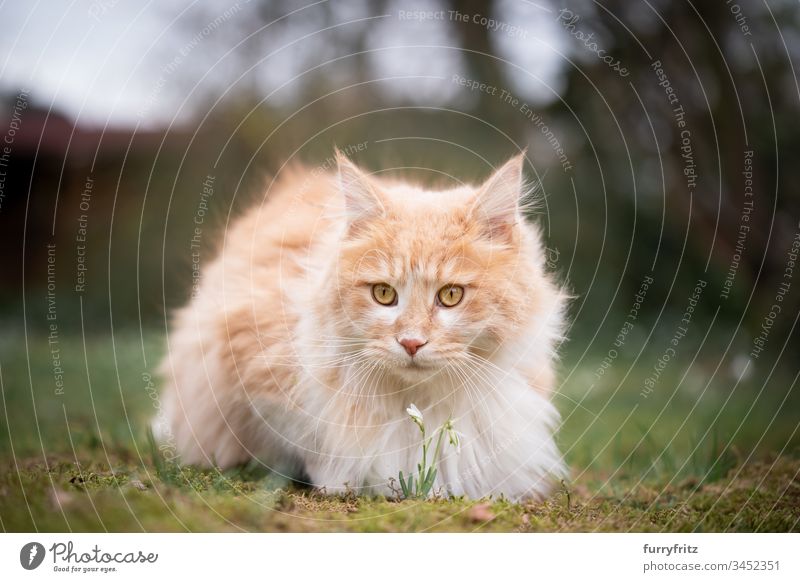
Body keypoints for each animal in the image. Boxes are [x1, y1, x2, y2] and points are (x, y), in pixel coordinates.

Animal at [155, 151, 568, 502]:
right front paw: (335, 481)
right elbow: (309, 442)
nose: (411, 342)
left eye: (451, 295)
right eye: (384, 294)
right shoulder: (248, 356)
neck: (418, 403)